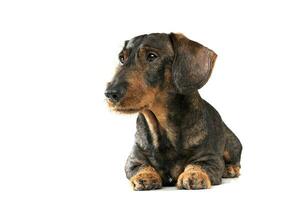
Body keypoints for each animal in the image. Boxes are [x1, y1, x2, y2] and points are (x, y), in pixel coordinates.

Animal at [104, 33, 240, 191]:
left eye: (152, 56)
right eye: (122, 58)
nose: (110, 94)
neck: (162, 128)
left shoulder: (211, 159)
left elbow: (199, 165)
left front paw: (194, 175)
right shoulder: (133, 161)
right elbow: (142, 166)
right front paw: (145, 176)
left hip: (231, 145)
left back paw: (231, 168)